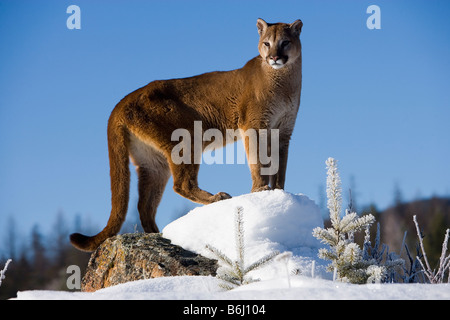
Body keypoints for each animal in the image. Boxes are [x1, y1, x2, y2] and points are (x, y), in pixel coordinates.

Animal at [69, 18, 302, 251]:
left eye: (285, 42)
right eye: (266, 43)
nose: (274, 57)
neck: (284, 82)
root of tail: (121, 102)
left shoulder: (283, 132)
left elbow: (280, 167)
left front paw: (279, 193)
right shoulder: (254, 127)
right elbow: (258, 162)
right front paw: (260, 190)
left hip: (153, 162)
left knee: (144, 203)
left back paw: (158, 234)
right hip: (187, 138)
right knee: (181, 184)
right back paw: (217, 198)